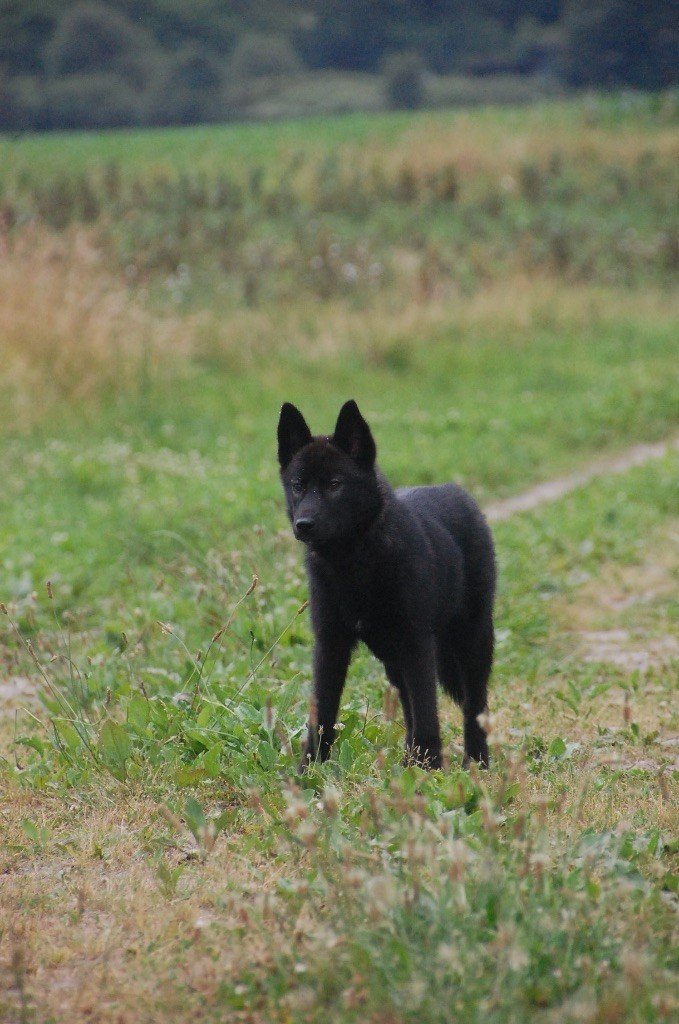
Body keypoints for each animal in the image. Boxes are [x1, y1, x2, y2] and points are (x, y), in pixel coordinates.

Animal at [277, 399, 496, 771]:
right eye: (298, 485)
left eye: (335, 484)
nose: (303, 524)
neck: (353, 563)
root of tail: (458, 493)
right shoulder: (330, 645)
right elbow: (322, 714)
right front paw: (310, 770)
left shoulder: (417, 643)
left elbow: (427, 711)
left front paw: (430, 770)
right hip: (392, 657)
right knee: (408, 706)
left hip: (472, 642)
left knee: (474, 705)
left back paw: (476, 761)